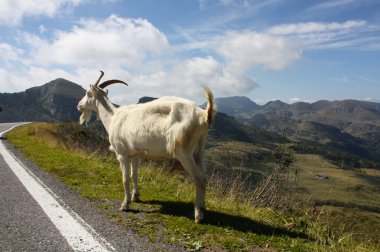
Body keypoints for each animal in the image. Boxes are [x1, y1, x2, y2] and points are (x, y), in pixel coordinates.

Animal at [76, 71, 217, 222]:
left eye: (88, 93)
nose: (79, 106)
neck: (113, 117)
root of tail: (204, 114)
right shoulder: (135, 154)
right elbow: (134, 175)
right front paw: (135, 197)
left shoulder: (122, 154)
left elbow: (125, 178)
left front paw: (125, 204)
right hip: (199, 150)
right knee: (204, 176)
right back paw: (202, 207)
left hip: (184, 152)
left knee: (199, 178)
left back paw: (198, 215)